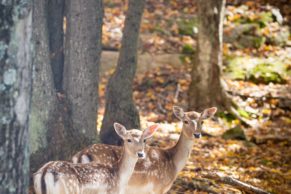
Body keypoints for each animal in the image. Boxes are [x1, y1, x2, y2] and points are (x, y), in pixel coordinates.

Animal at [71, 106, 217, 194]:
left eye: (202, 121)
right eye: (185, 121)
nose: (197, 134)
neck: (173, 163)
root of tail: (82, 154)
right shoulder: (158, 187)